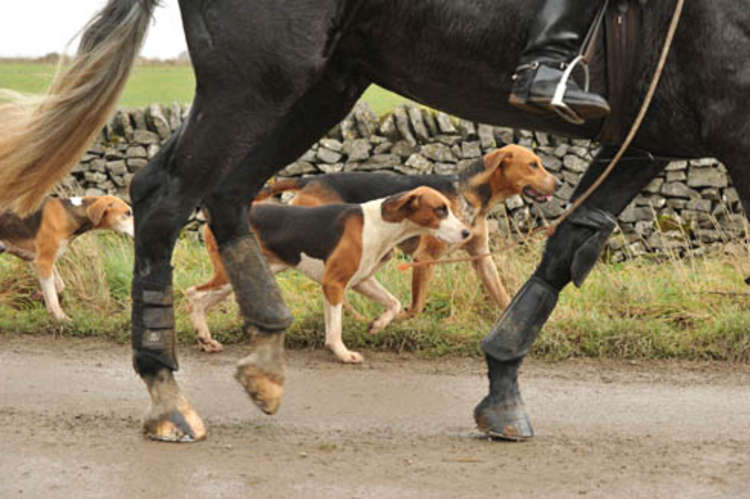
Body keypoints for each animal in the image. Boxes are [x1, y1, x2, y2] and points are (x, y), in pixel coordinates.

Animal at [2, 0, 748, 442]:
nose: (549, 181)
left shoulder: (649, 136)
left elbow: (564, 251)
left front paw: (502, 385)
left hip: (322, 81)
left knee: (223, 194)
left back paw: (265, 351)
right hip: (256, 78)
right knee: (166, 196)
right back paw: (166, 393)